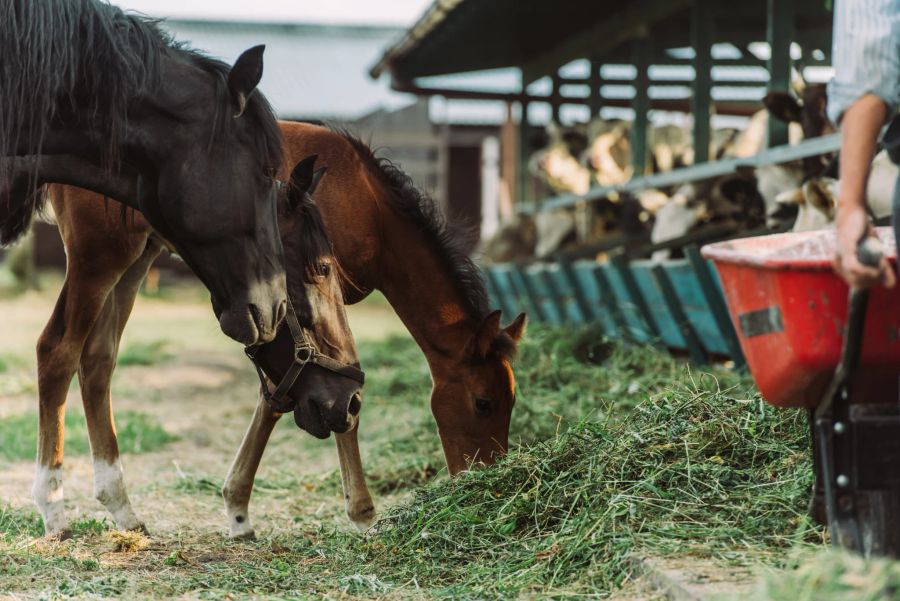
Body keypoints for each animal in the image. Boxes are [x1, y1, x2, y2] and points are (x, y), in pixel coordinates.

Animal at [32, 154, 366, 536]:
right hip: (102, 256)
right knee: (59, 352)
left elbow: (97, 356)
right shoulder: (95, 254)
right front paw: (52, 508)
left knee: (98, 359)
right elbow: (57, 351)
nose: (353, 400)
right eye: (323, 268)